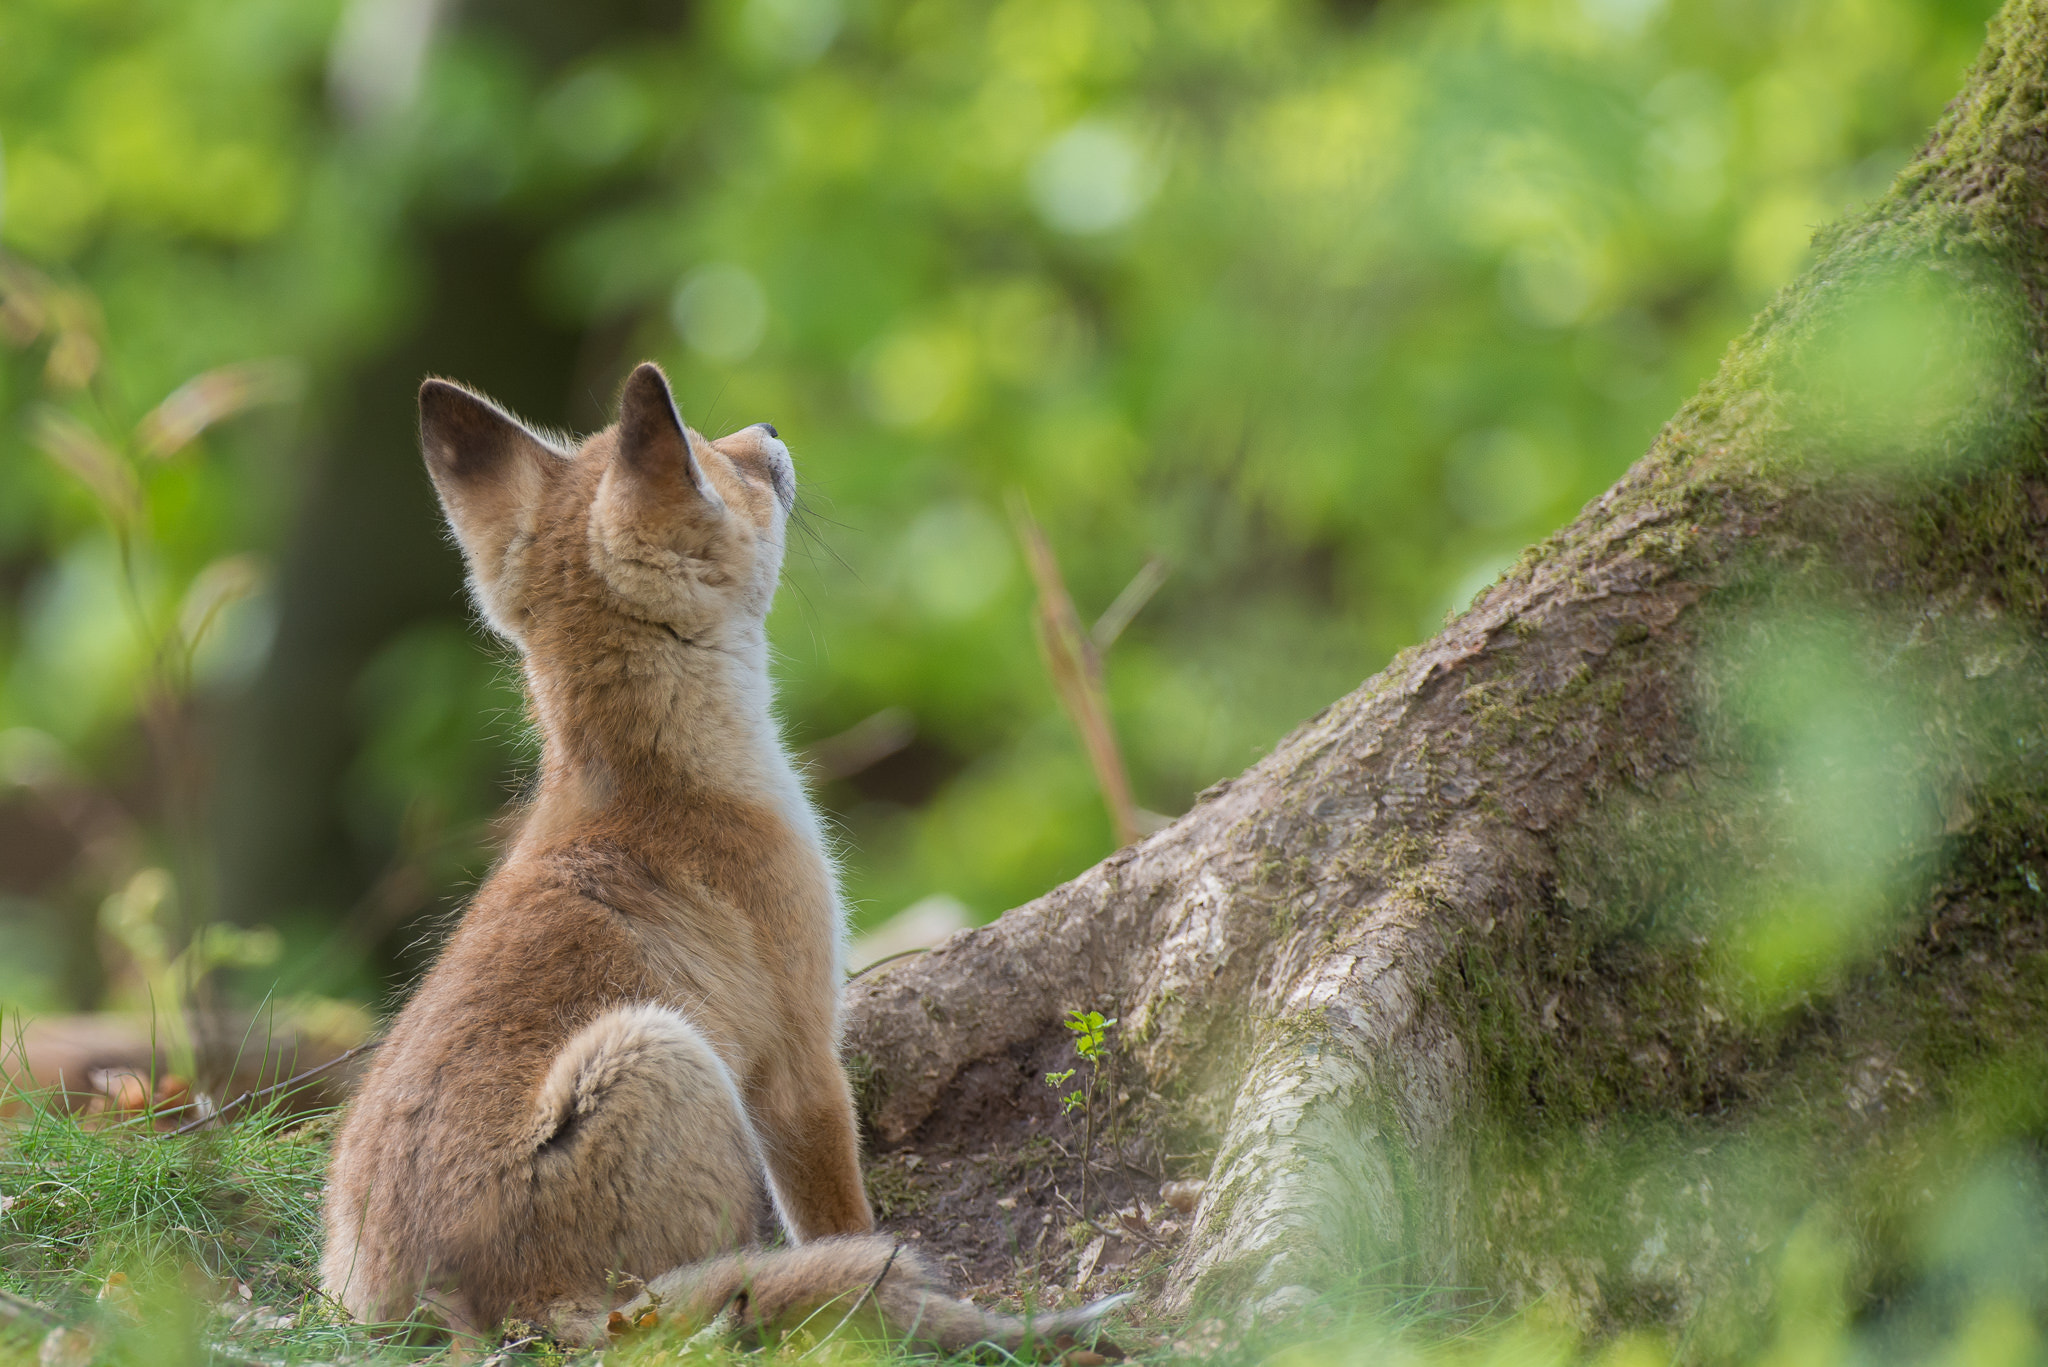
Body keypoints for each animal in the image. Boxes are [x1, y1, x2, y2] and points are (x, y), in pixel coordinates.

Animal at [320, 364, 1119, 1352]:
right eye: (711, 456)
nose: (769, 427)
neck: (672, 785)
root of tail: (466, 1310)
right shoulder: (800, 1050)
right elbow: (839, 1214)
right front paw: (876, 1275)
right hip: (661, 1052)